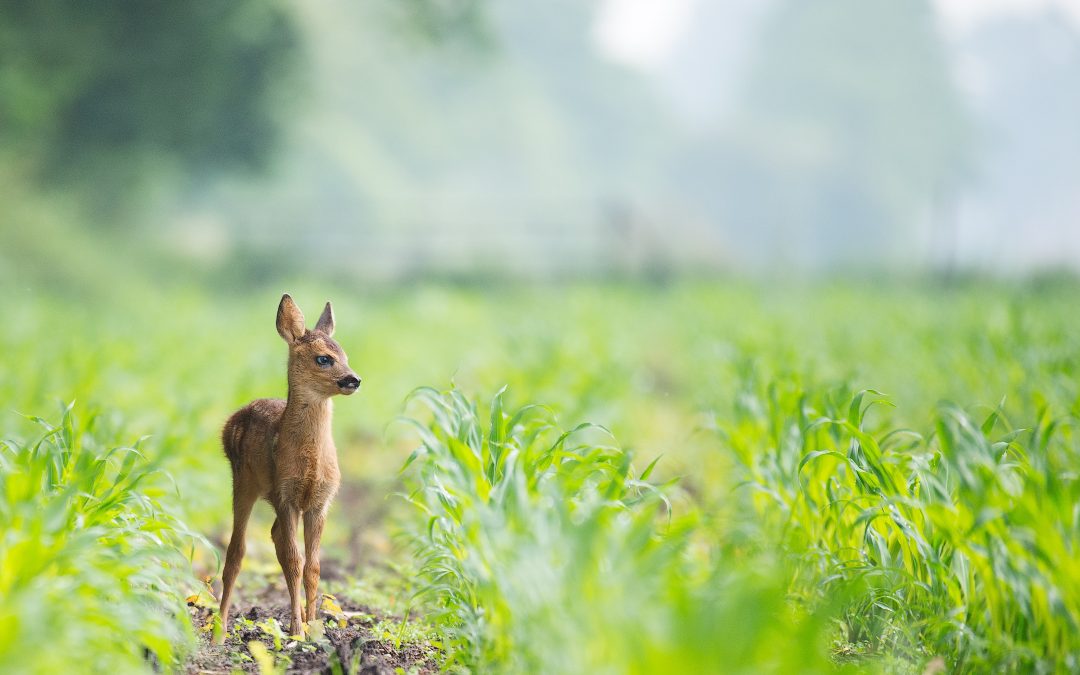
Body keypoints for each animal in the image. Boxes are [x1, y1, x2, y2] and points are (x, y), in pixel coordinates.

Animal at [214, 293, 362, 643]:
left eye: (345, 355)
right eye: (323, 359)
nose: (354, 379)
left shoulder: (320, 502)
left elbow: (313, 566)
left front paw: (314, 628)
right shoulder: (286, 495)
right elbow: (295, 562)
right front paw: (296, 631)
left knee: (275, 539)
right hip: (243, 482)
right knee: (236, 552)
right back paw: (219, 630)